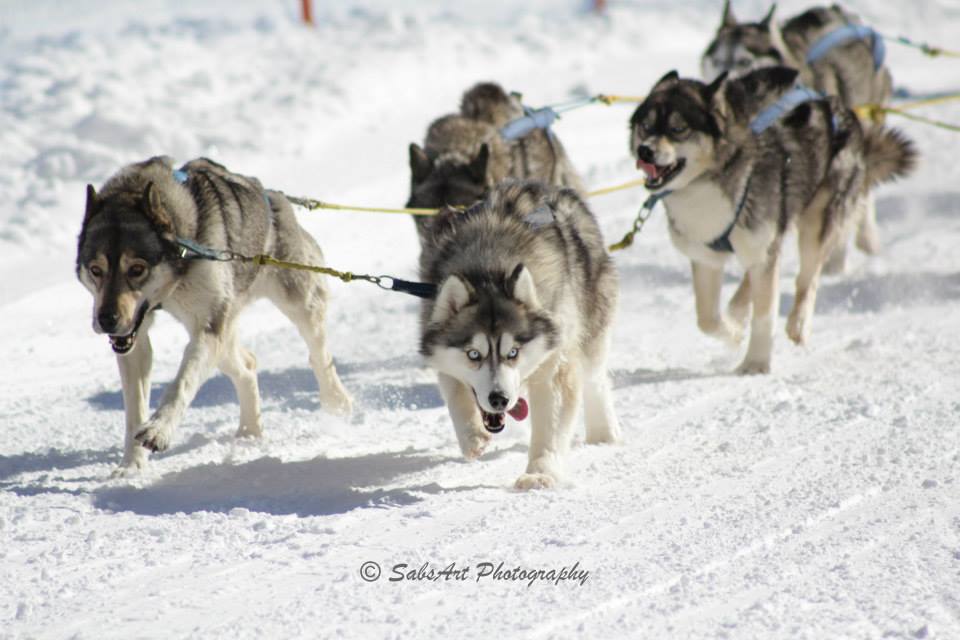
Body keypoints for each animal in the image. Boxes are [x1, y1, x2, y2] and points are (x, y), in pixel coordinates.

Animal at [76, 155, 352, 476]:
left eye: (137, 269)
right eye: (96, 270)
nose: (106, 320)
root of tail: (273, 197)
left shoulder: (207, 328)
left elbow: (180, 384)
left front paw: (159, 430)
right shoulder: (137, 340)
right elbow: (134, 410)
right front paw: (131, 465)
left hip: (296, 302)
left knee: (319, 356)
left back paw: (337, 402)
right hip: (224, 334)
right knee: (248, 364)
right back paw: (249, 431)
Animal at [422, 180, 624, 490]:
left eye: (513, 352)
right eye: (474, 354)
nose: (499, 400)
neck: (488, 269)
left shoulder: (555, 359)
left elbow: (551, 421)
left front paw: (540, 472)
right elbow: (454, 388)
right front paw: (472, 435)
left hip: (592, 324)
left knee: (595, 378)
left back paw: (603, 432)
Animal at [632, 67, 916, 372]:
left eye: (678, 129)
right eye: (645, 126)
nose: (645, 151)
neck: (711, 179)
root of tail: (836, 105)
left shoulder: (763, 248)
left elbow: (766, 313)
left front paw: (755, 363)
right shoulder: (706, 256)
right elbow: (707, 319)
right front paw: (734, 332)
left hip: (817, 221)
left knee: (807, 279)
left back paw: (799, 323)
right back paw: (738, 311)